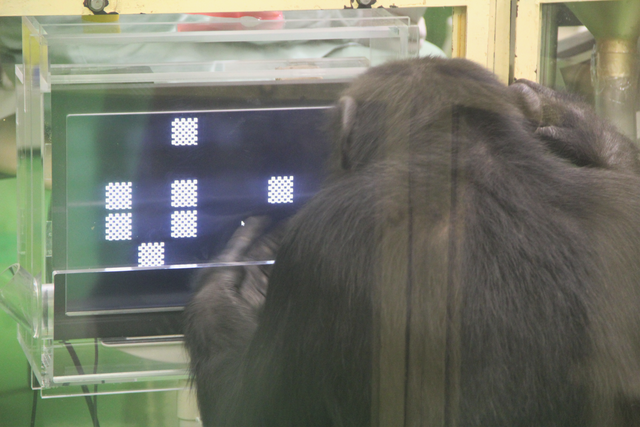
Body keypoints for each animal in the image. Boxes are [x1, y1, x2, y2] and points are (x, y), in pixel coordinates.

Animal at [181, 57, 640, 427]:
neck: (461, 155)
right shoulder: (624, 206)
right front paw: (573, 122)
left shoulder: (316, 254)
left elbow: (251, 408)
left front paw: (225, 289)